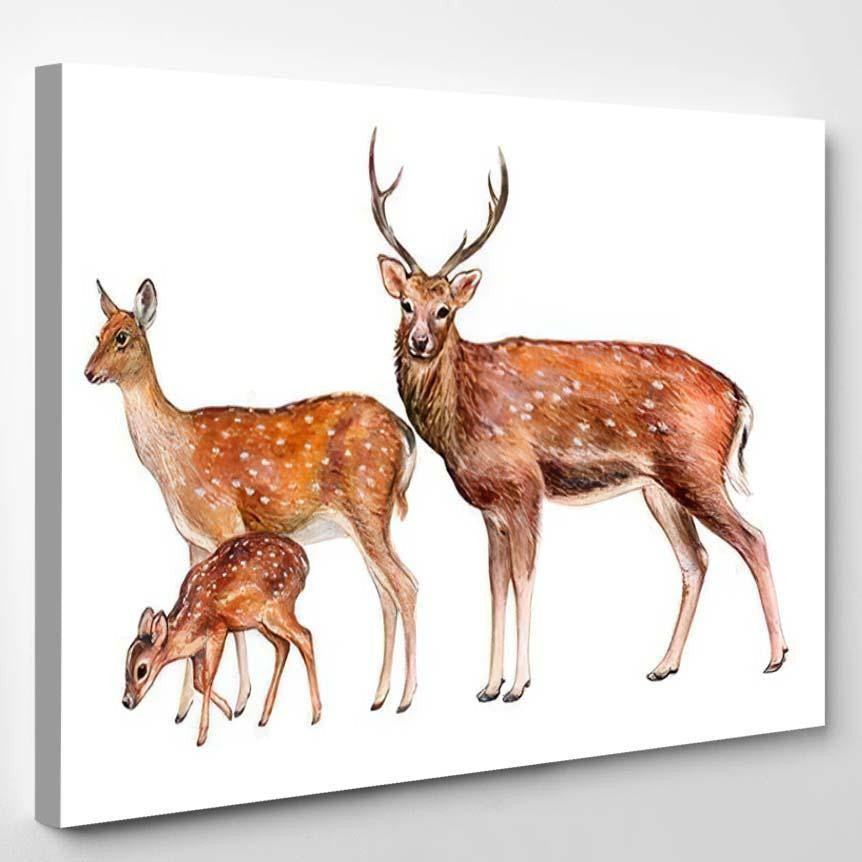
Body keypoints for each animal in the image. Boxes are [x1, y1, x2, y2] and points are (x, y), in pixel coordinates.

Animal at [86, 278, 418, 716]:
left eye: (122, 337)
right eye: (97, 334)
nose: (88, 372)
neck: (172, 457)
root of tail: (405, 434)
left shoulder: (225, 522)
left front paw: (241, 700)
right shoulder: (193, 539)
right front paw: (183, 710)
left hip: (368, 506)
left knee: (406, 586)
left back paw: (406, 698)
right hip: (368, 522)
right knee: (386, 594)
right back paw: (378, 696)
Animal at [123, 533, 321, 745]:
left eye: (141, 670)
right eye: (125, 665)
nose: (126, 701)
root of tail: (304, 562)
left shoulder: (219, 628)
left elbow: (207, 677)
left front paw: (202, 736)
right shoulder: (196, 649)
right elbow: (197, 681)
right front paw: (228, 711)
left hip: (278, 608)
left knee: (305, 636)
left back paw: (316, 714)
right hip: (258, 620)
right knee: (284, 645)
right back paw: (264, 717)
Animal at [368, 129, 788, 704]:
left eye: (445, 310)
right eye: (405, 304)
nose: (419, 342)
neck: (461, 421)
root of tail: (737, 396)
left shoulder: (525, 486)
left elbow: (524, 579)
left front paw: (519, 685)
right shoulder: (489, 506)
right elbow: (494, 586)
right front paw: (487, 686)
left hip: (696, 470)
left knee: (753, 539)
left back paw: (776, 657)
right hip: (659, 487)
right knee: (695, 559)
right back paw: (664, 666)